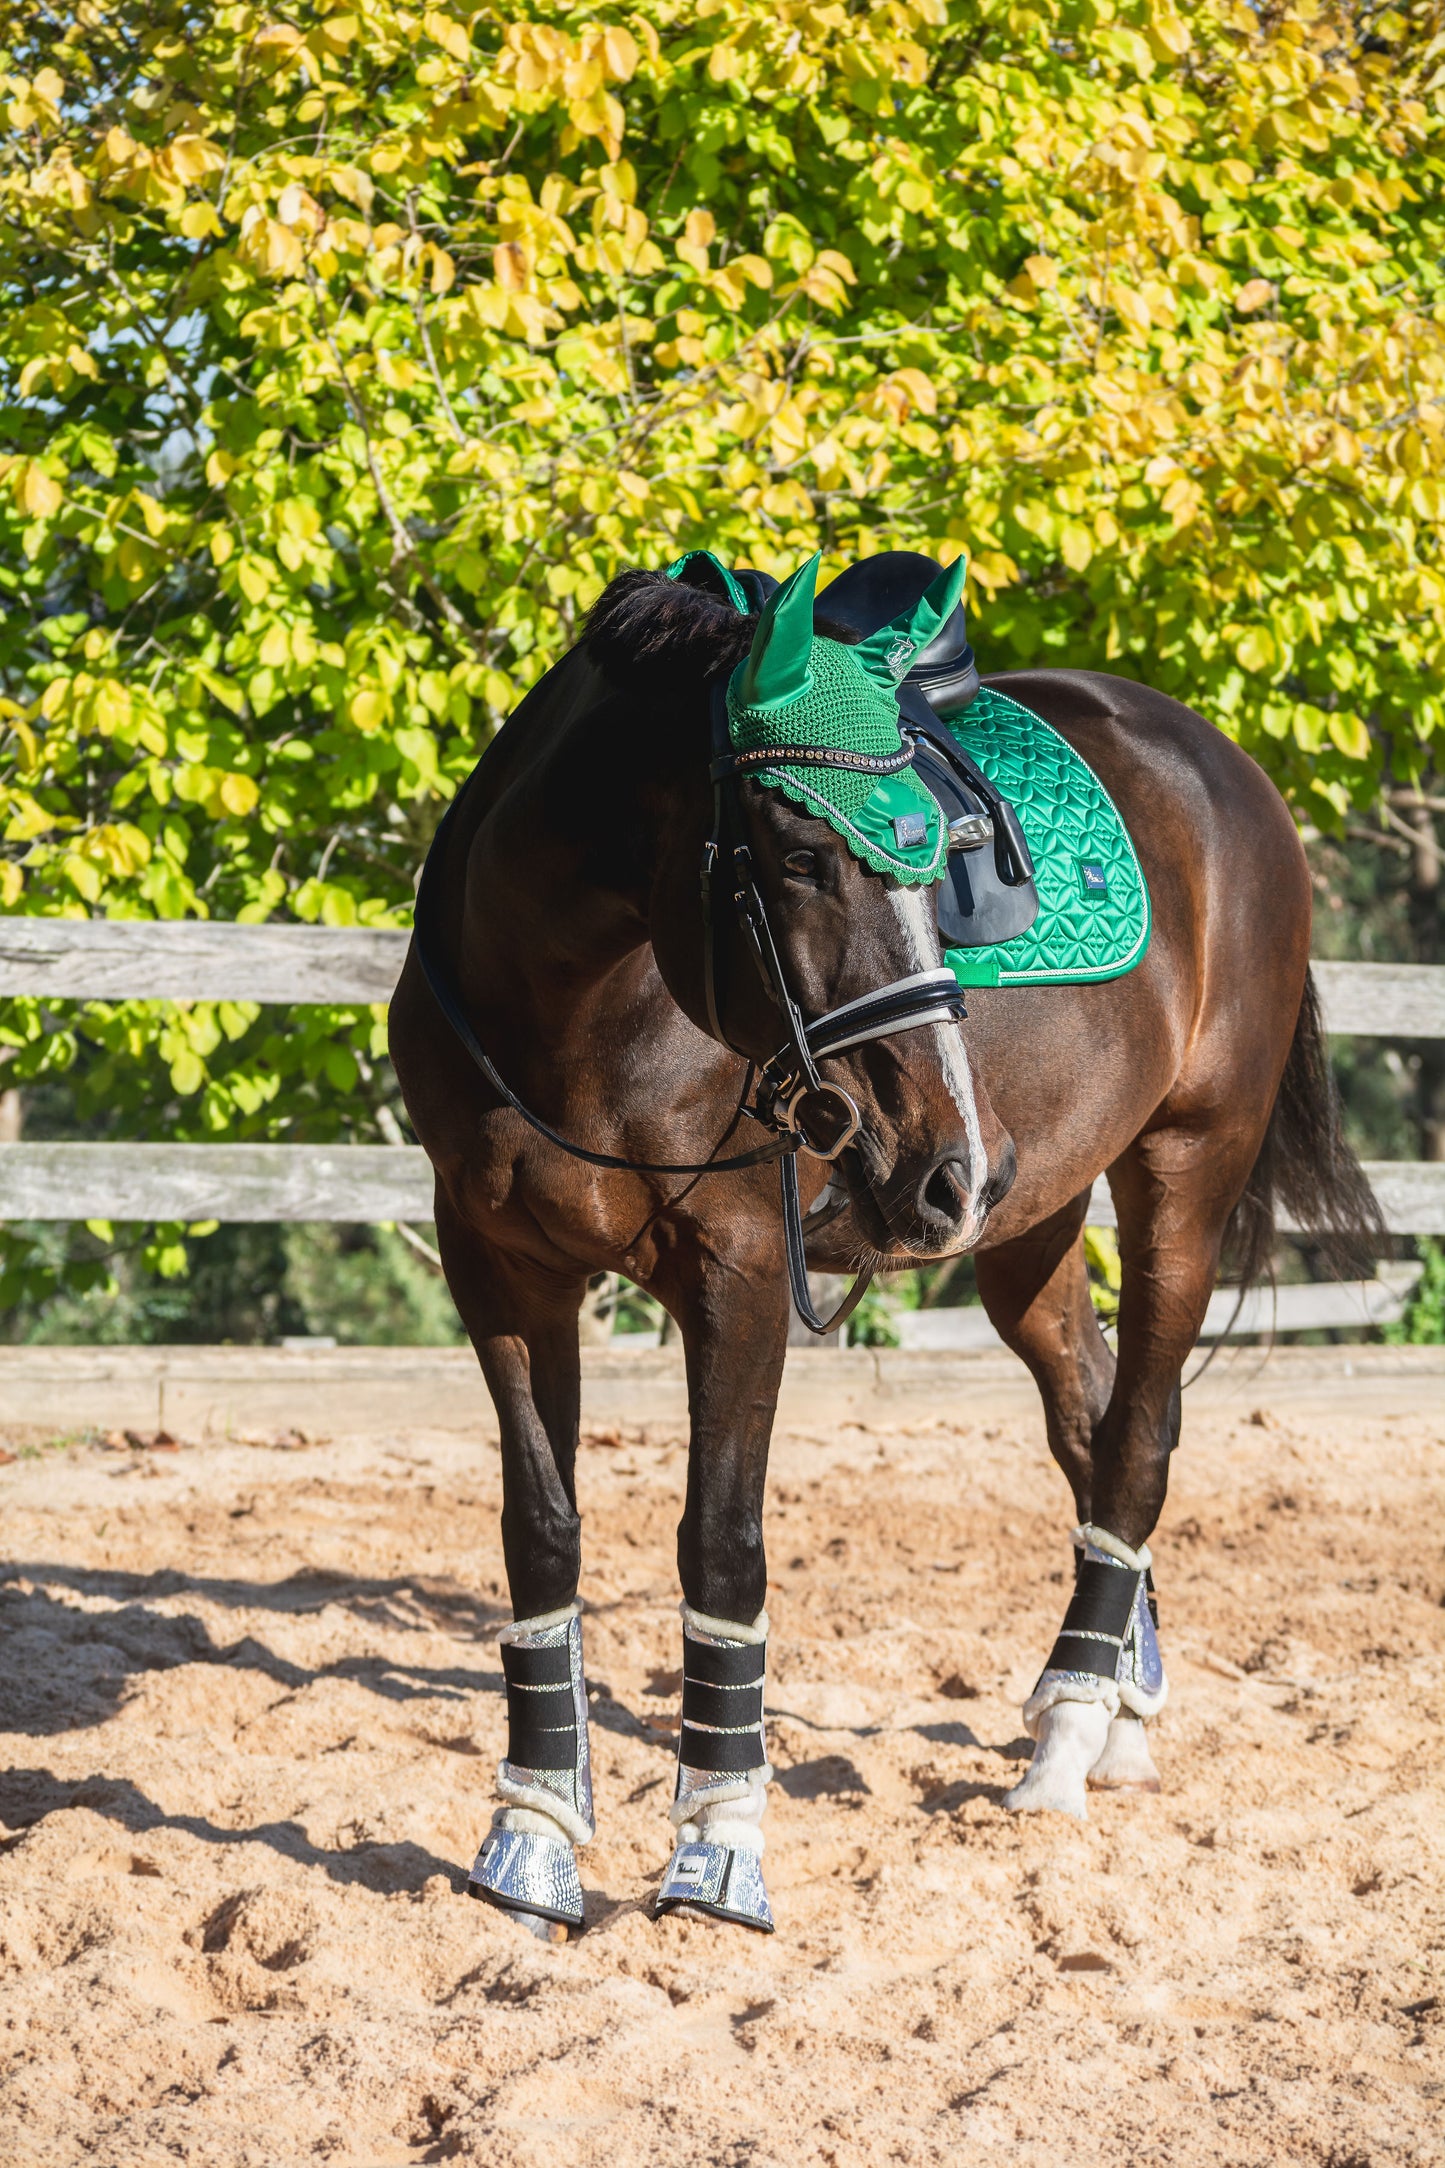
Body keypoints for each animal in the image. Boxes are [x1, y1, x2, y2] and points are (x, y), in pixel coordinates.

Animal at [392, 550, 1377, 1942]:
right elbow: (539, 1530)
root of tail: (1219, 765)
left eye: (935, 864)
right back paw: (1113, 1713)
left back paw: (1065, 1739)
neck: (584, 1009)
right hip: (1032, 1221)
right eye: (803, 855)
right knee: (1088, 1420)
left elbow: (721, 1540)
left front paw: (719, 1850)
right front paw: (529, 1838)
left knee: (1138, 1435)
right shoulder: (499, 1269)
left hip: (1184, 1167)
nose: (948, 1158)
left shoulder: (742, 1273)